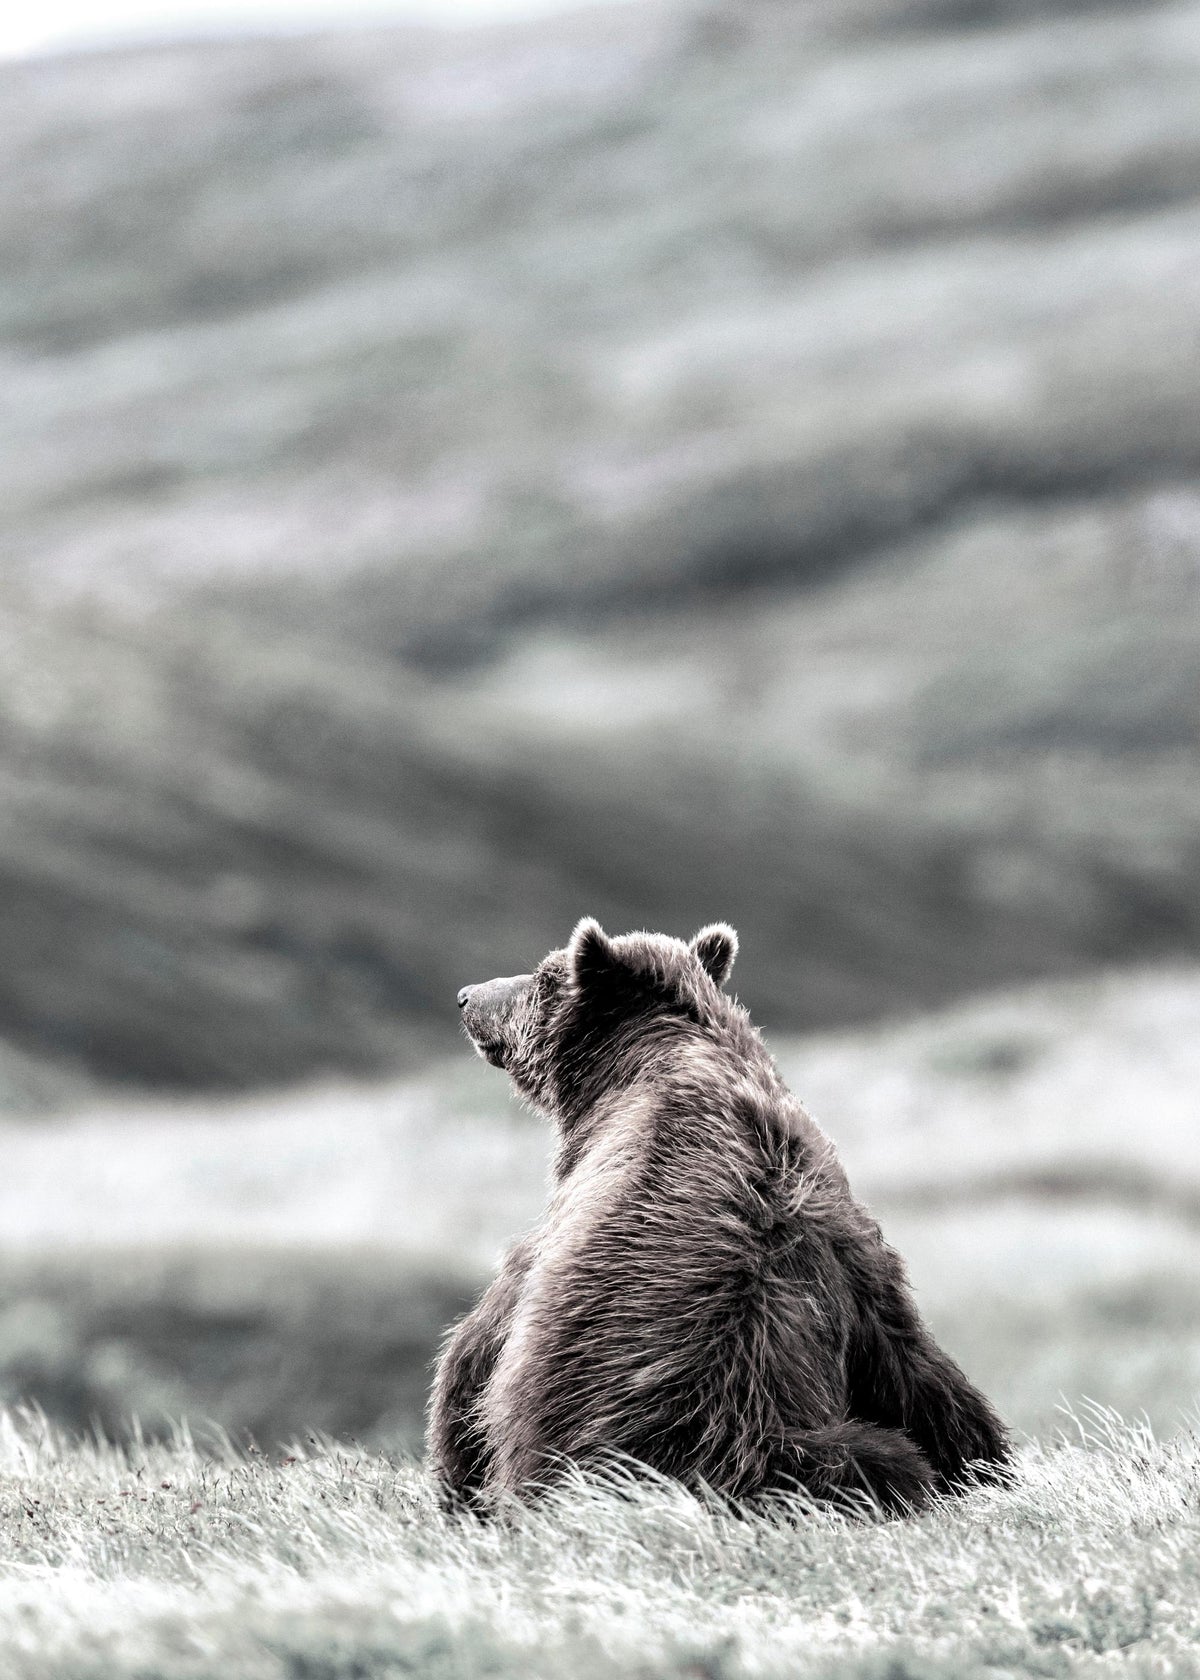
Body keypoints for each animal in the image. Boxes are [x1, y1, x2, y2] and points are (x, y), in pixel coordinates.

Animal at [427, 920, 1010, 1515]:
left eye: (546, 976)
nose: (467, 996)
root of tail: (746, 1436)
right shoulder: (851, 1233)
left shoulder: (570, 1227)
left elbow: (477, 1346)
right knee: (924, 1418)